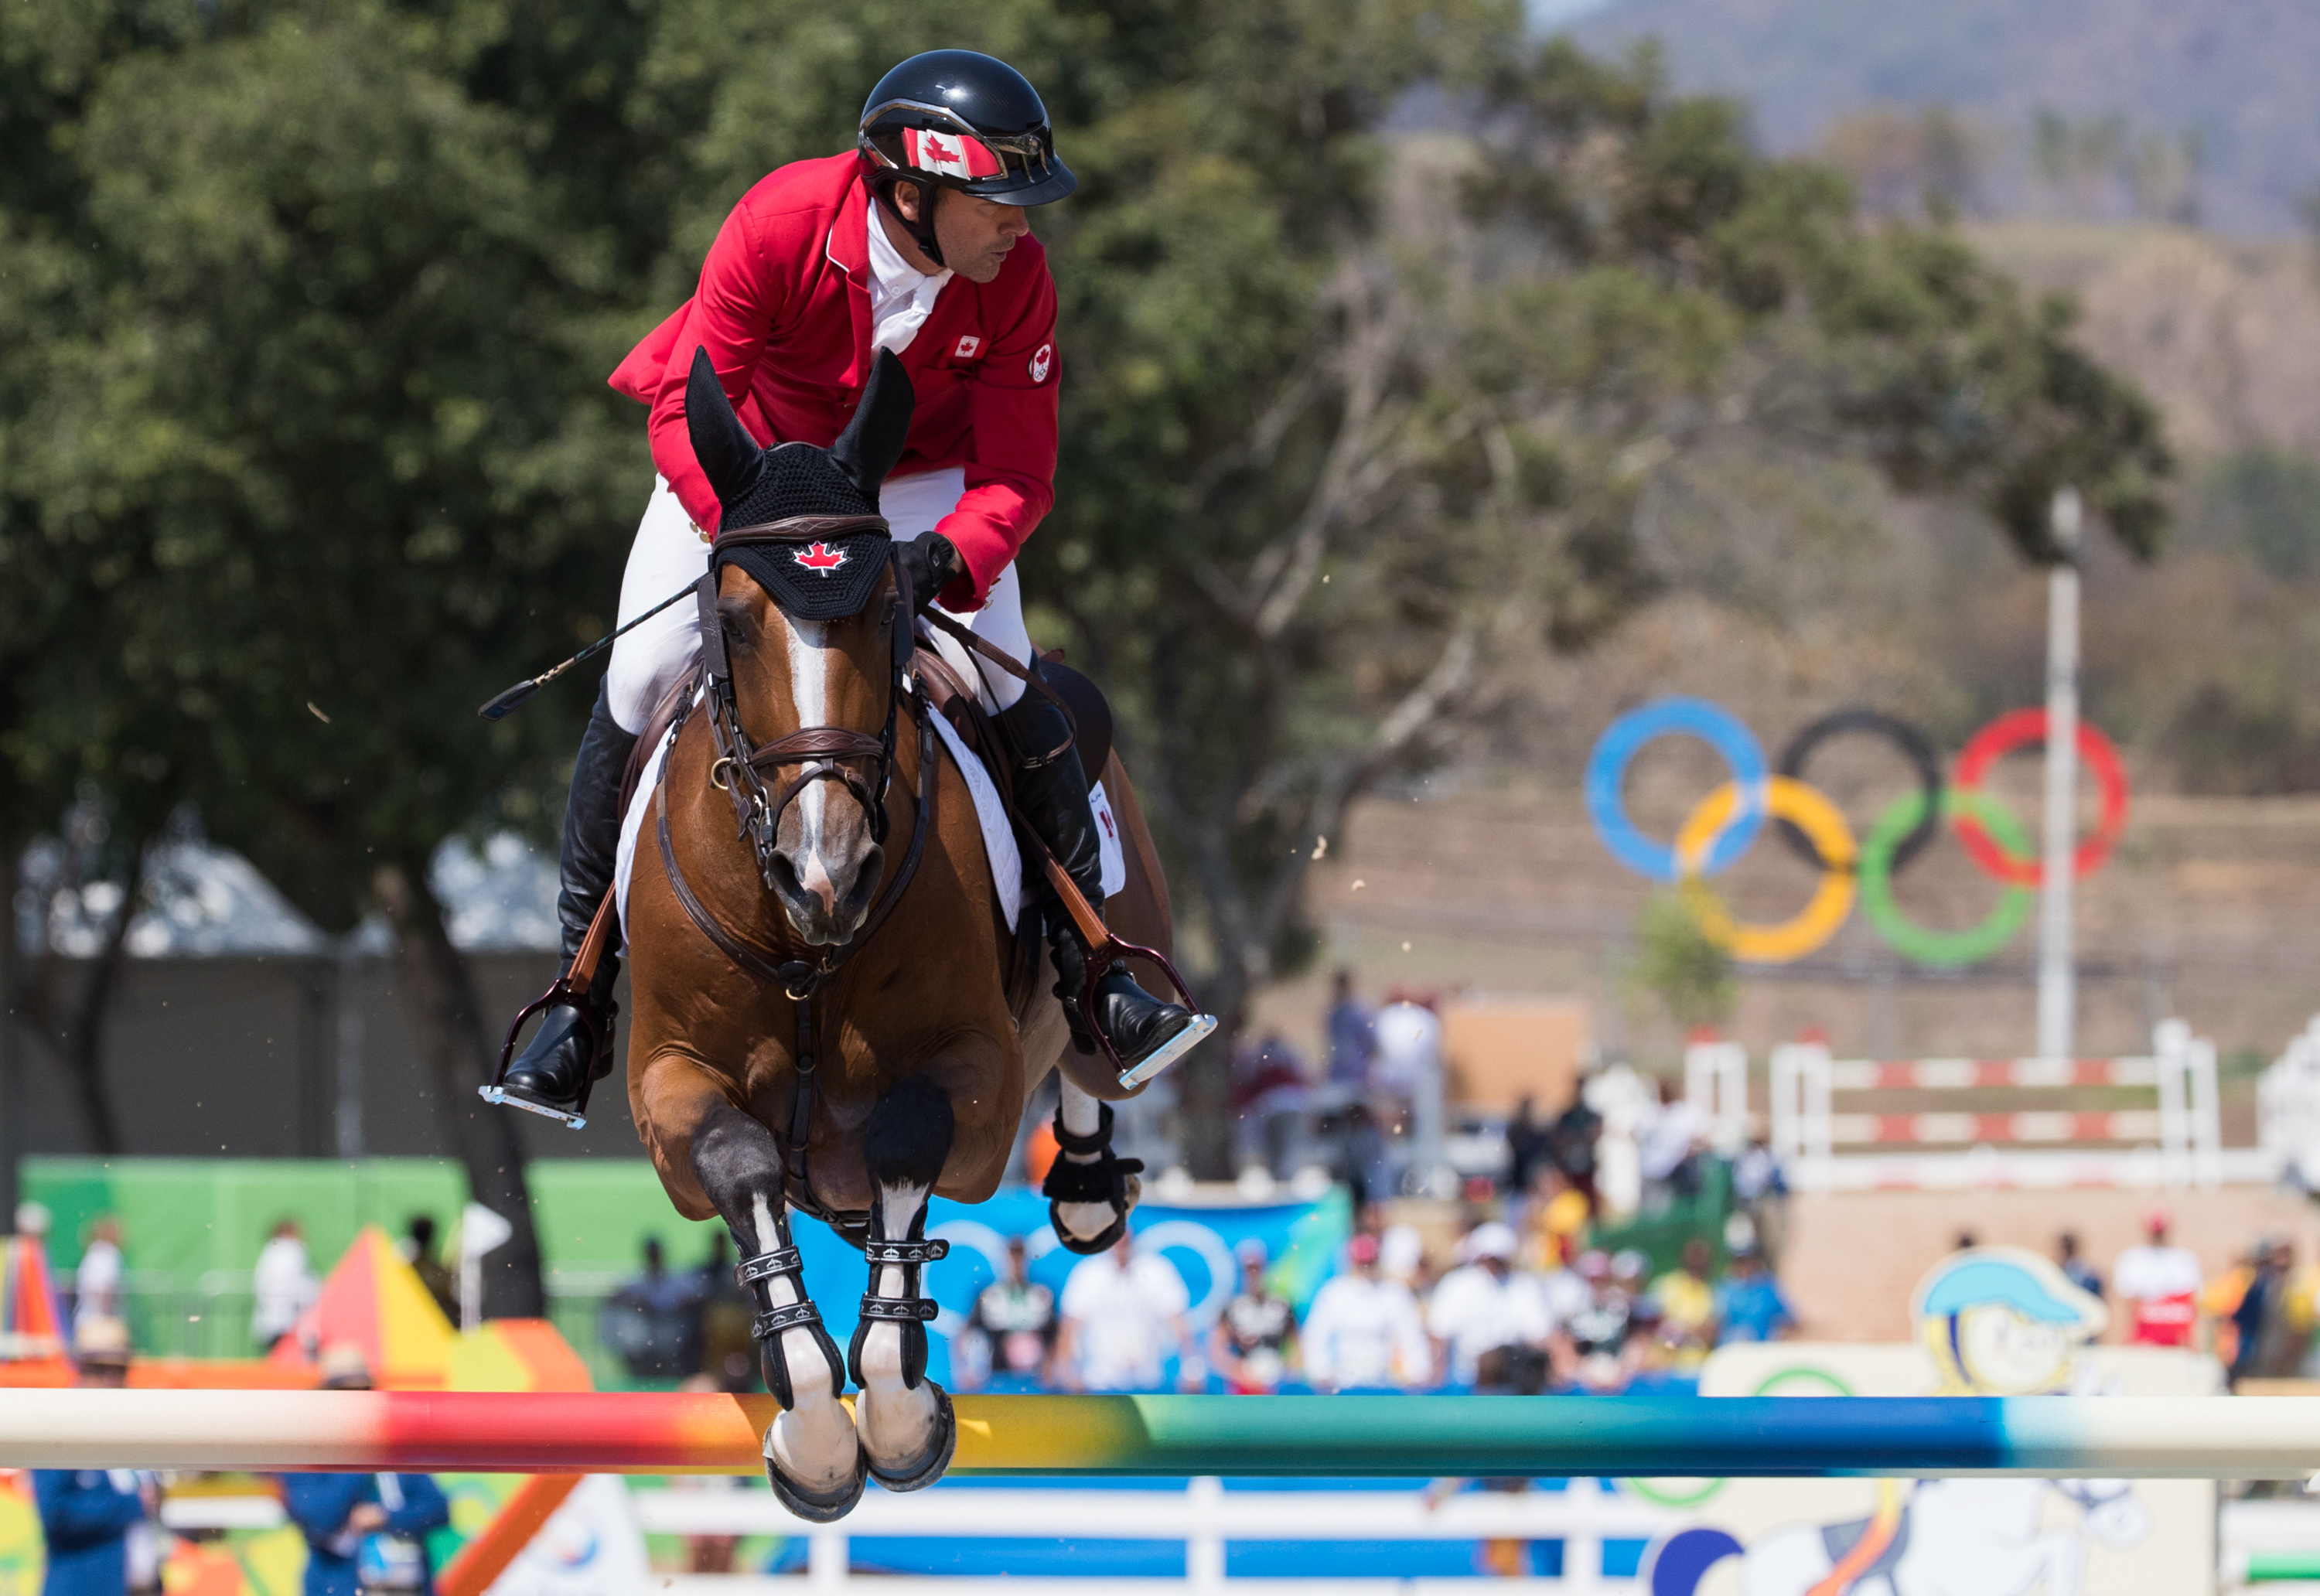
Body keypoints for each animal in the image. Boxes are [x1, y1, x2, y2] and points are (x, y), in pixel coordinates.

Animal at [617, 348, 1169, 1522]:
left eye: (887, 613)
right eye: (733, 620)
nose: (826, 870)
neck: (808, 945)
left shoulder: (979, 1083)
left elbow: (906, 1139)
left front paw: (900, 1416)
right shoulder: (667, 1084)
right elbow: (738, 1162)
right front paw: (817, 1435)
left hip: (1111, 984)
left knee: (1096, 1052)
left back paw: (1089, 1180)